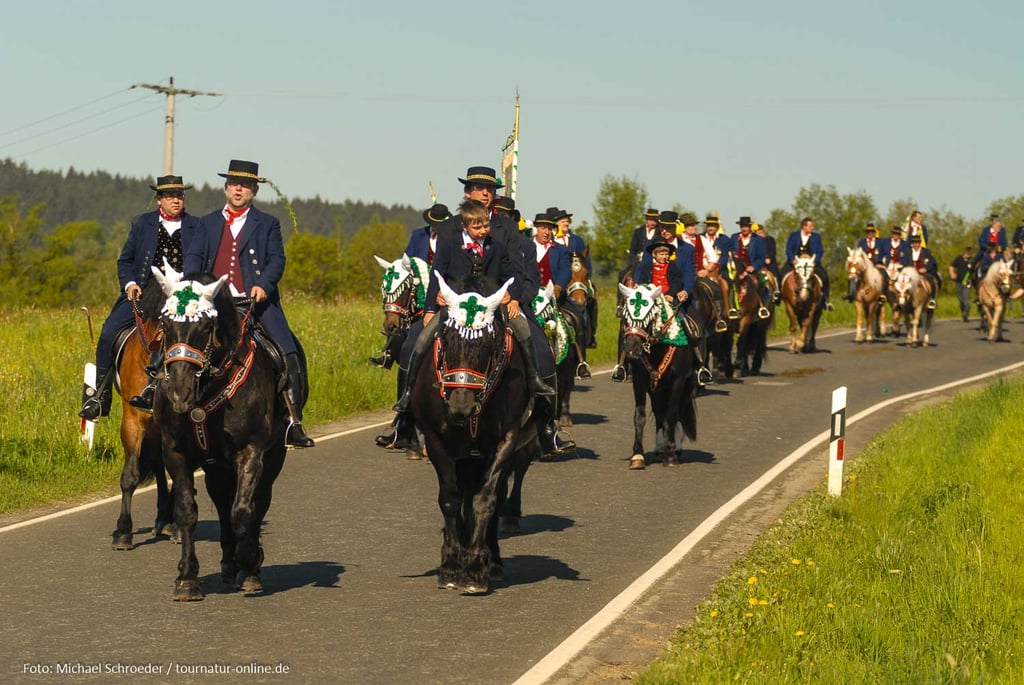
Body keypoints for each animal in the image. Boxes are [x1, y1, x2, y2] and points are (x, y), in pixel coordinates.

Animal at [151, 267, 288, 601]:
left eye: (204, 326)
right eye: (164, 323)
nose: (179, 392)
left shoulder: (252, 451)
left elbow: (244, 511)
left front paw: (250, 563)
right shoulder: (175, 451)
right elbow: (187, 512)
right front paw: (187, 579)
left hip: (273, 455)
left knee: (256, 501)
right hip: (215, 466)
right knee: (223, 503)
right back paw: (228, 562)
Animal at [412, 272, 540, 594]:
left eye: (488, 345)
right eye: (446, 339)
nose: (461, 407)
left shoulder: (506, 440)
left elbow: (486, 500)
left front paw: (474, 570)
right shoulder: (436, 441)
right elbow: (450, 499)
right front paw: (450, 566)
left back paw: (490, 559)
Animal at [616, 282, 698, 470]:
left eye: (651, 315)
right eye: (625, 316)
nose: (631, 349)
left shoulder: (678, 381)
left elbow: (672, 414)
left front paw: (671, 456)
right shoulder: (640, 381)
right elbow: (640, 416)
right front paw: (637, 456)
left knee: (671, 412)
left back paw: (673, 449)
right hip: (656, 389)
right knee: (659, 412)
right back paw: (661, 448)